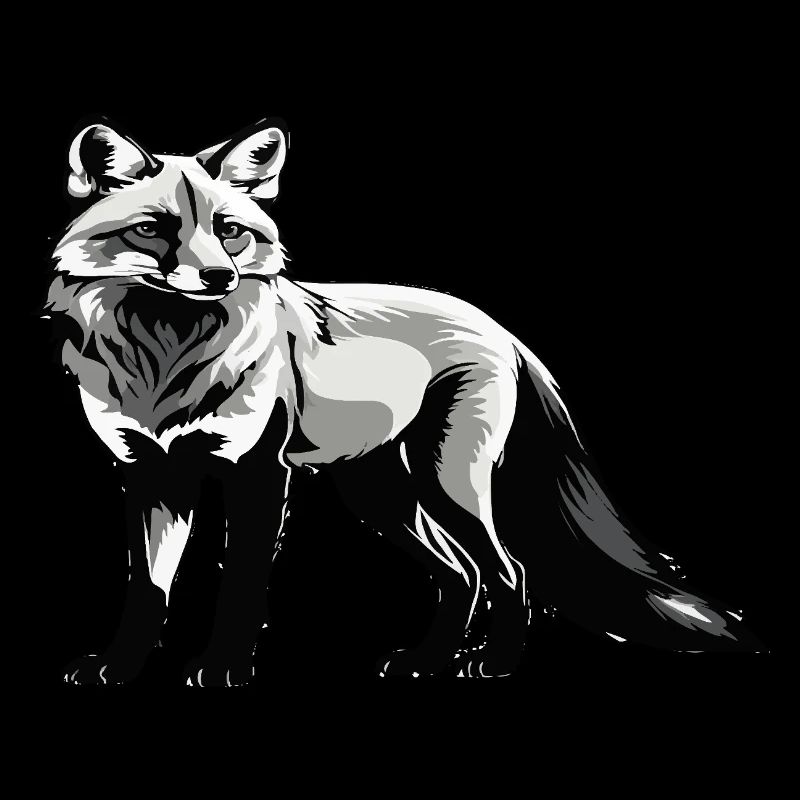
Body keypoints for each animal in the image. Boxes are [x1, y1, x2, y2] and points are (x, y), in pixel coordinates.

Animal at [47, 117, 763, 686]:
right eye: (152, 229)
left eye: (229, 231)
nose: (220, 275)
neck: (164, 361)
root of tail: (499, 329)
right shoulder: (148, 474)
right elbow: (148, 588)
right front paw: (118, 668)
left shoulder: (256, 473)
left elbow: (240, 583)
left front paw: (223, 668)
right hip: (384, 498)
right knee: (460, 576)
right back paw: (428, 662)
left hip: (448, 487)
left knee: (507, 572)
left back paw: (494, 665)